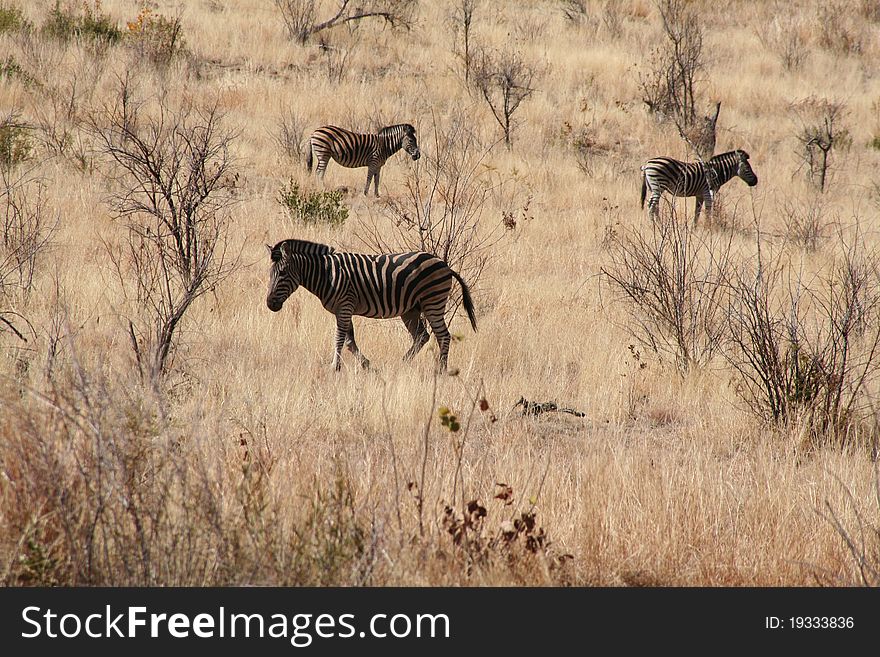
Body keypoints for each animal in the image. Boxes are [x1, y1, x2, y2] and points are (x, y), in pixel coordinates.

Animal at [264, 238, 478, 372]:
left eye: (282, 273)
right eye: (270, 273)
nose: (269, 304)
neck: (326, 274)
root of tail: (445, 265)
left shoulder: (345, 306)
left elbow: (339, 338)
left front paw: (334, 367)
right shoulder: (343, 309)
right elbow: (349, 341)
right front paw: (366, 365)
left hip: (432, 302)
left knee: (443, 336)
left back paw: (441, 370)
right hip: (411, 309)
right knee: (422, 336)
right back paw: (402, 363)